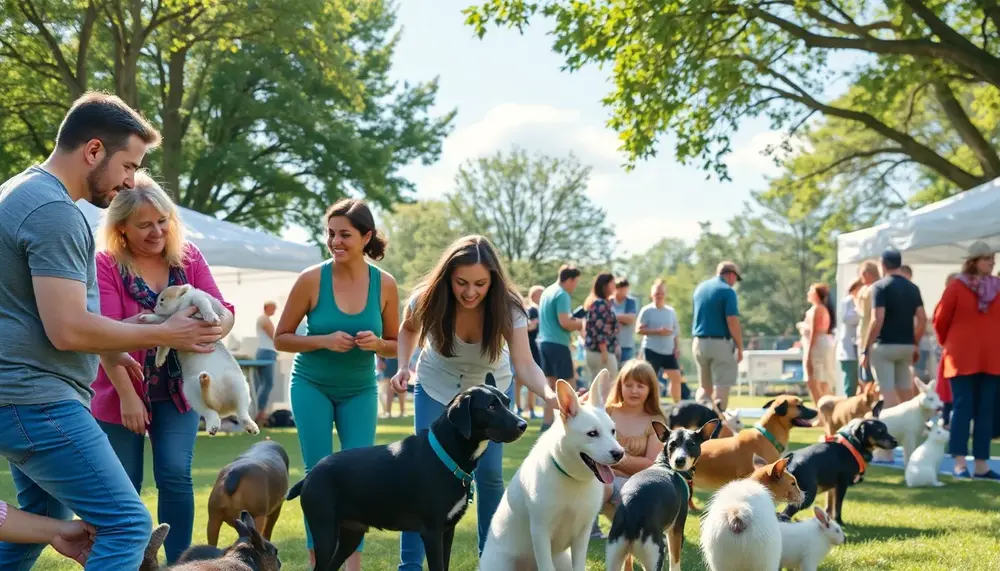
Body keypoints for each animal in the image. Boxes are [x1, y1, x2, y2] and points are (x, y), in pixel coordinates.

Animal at [140, 284, 258, 436]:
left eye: (162, 300)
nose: (154, 308)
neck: (181, 304)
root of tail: (221, 405)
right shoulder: (170, 325)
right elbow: (162, 338)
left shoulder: (198, 299)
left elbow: (204, 306)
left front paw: (211, 318)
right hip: (191, 392)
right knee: (209, 411)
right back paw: (213, 423)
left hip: (239, 385)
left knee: (242, 411)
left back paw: (251, 426)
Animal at [286, 374, 528, 568]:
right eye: (490, 407)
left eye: (507, 402)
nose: (523, 425)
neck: (446, 456)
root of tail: (310, 475)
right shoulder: (431, 532)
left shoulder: (447, 530)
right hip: (325, 532)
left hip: (351, 534)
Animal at [478, 370, 624, 571]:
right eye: (592, 434)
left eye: (613, 431)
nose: (619, 453)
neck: (571, 478)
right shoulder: (541, 533)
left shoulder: (582, 534)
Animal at [600, 418, 720, 568]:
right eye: (672, 445)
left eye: (691, 444)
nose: (679, 460)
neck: (665, 465)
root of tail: (632, 510)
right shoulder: (676, 530)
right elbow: (675, 561)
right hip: (654, 555)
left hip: (615, 554)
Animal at [772, 418, 900, 524]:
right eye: (880, 431)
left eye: (887, 430)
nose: (895, 441)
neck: (854, 444)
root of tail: (790, 459)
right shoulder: (842, 484)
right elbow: (838, 506)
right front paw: (839, 522)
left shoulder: (833, 487)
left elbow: (831, 506)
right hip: (805, 496)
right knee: (785, 513)